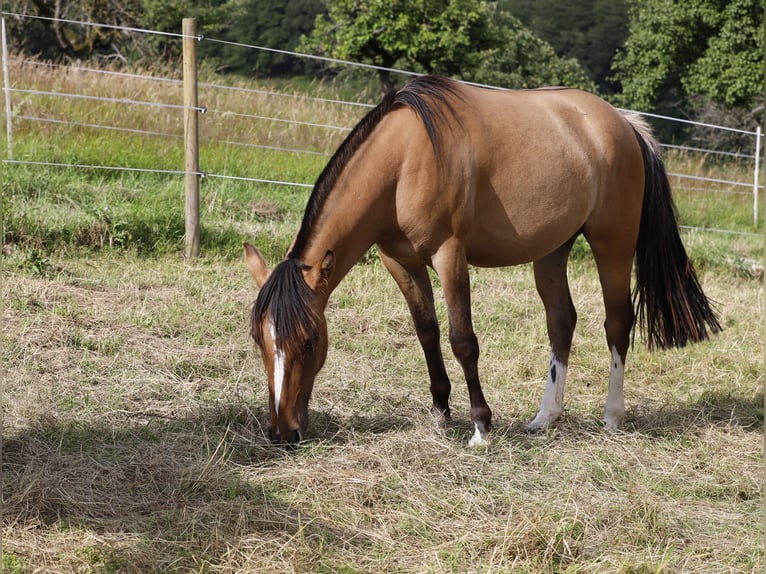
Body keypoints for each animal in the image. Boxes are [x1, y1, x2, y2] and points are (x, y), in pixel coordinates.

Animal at [243, 73, 724, 450]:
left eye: (311, 341)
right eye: (259, 339)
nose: (282, 432)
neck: (404, 160)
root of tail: (623, 122)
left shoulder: (449, 255)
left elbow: (463, 340)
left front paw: (480, 426)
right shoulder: (399, 261)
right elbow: (427, 333)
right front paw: (440, 411)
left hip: (613, 244)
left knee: (617, 323)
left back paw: (612, 416)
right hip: (552, 250)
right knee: (561, 321)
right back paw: (544, 418)